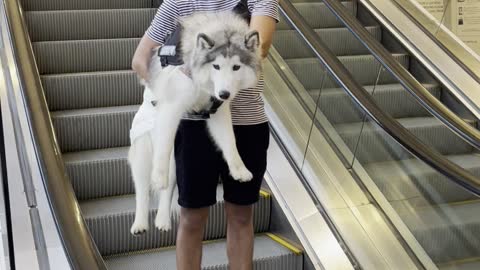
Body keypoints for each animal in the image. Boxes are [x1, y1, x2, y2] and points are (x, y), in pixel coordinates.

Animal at [127, 11, 260, 234]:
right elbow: (162, 151)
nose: (224, 93)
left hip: (176, 161)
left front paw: (239, 170)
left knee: (168, 191)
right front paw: (158, 177)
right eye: (216, 66)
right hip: (143, 153)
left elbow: (230, 142)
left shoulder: (218, 112)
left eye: (236, 67)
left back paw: (162, 221)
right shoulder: (171, 108)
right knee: (142, 190)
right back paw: (140, 224)